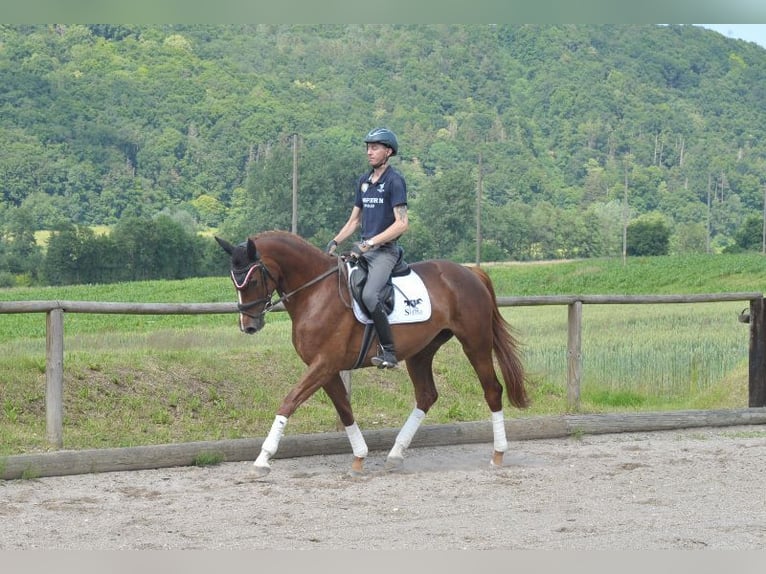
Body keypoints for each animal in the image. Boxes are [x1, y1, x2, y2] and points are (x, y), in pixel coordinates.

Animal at [216, 232, 528, 480]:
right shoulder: (326, 367)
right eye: (233, 280)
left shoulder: (323, 364)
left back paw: (498, 454)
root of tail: (470, 272)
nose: (249, 326)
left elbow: (289, 402)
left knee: (492, 390)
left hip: (475, 343)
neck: (315, 292)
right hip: (421, 351)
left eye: (252, 280)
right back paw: (395, 455)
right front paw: (359, 457)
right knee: (426, 395)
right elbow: (344, 409)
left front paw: (262, 459)